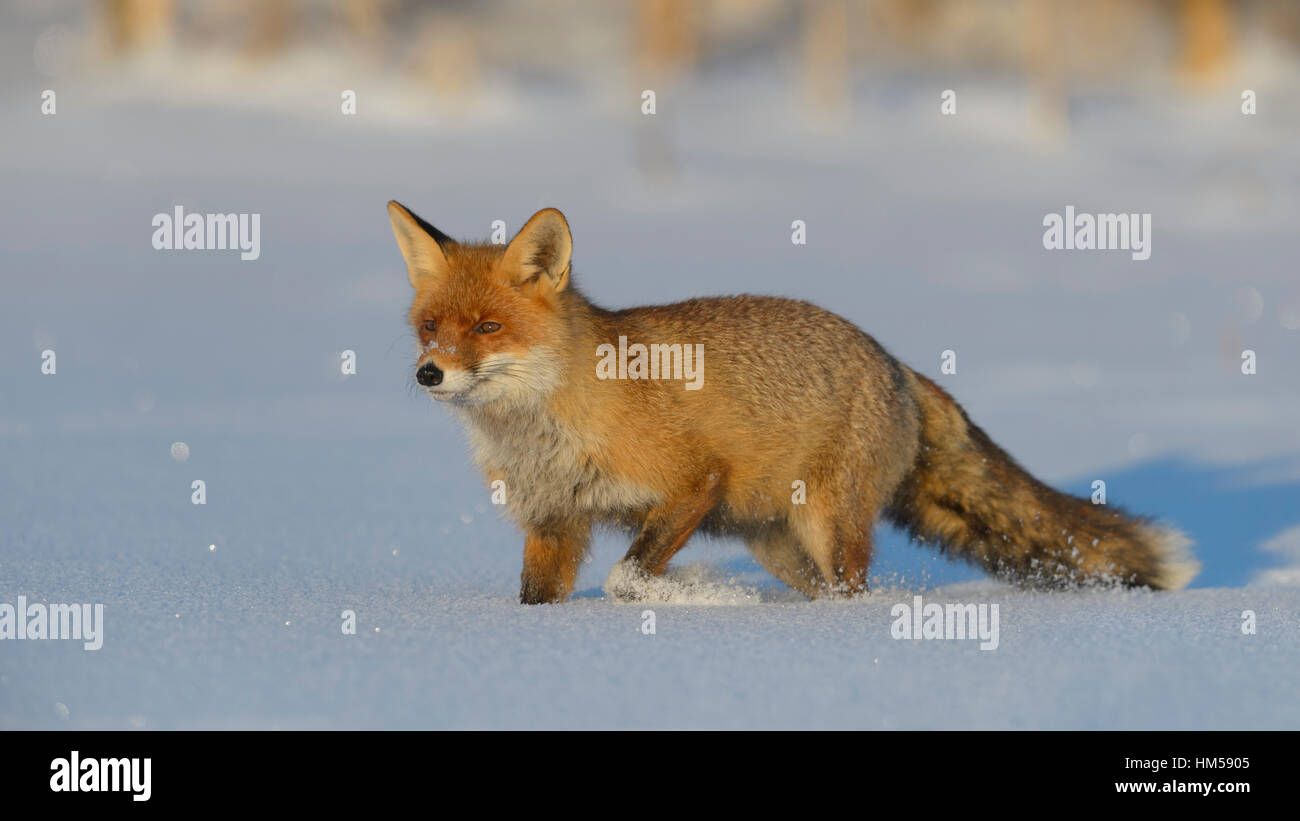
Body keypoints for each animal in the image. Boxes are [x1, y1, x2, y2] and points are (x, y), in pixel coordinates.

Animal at [387, 202, 1200, 604]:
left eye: (487, 328)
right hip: (776, 543)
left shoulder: (691, 481)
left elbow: (626, 577)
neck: (547, 429)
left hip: (828, 523)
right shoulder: (554, 523)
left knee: (848, 593)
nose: (428, 374)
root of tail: (893, 360)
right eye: (430, 327)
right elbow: (538, 599)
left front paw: (702, 595)